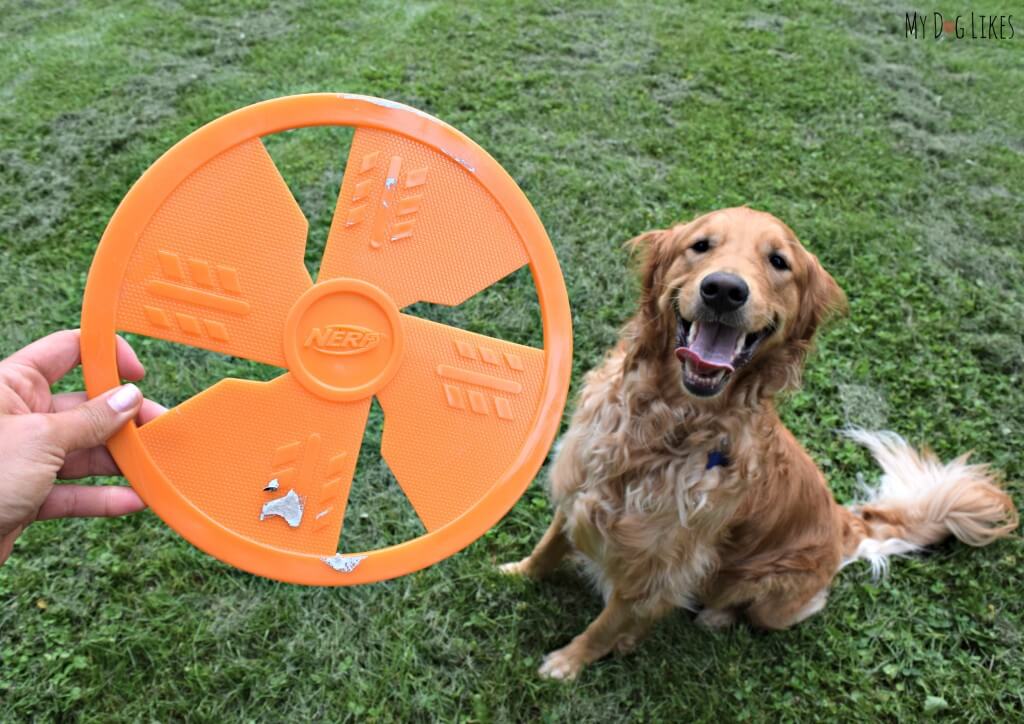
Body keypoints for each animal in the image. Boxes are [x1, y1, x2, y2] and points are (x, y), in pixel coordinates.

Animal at [497, 207, 1015, 679]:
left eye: (779, 262)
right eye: (701, 245)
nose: (724, 290)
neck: (667, 423)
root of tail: (845, 525)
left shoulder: (660, 566)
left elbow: (605, 624)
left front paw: (568, 663)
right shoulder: (580, 482)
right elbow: (548, 545)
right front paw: (516, 572)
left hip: (774, 596)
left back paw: (713, 616)